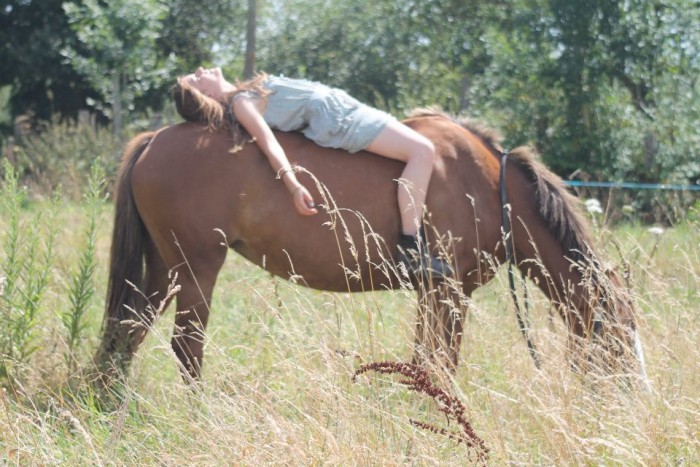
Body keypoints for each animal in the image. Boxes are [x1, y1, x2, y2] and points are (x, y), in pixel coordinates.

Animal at [94, 109, 652, 388]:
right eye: (619, 334)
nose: (635, 397)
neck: (491, 188)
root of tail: (153, 138)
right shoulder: (450, 292)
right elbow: (441, 363)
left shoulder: (432, 293)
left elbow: (425, 360)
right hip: (196, 268)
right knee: (185, 348)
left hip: (163, 268)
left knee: (126, 332)